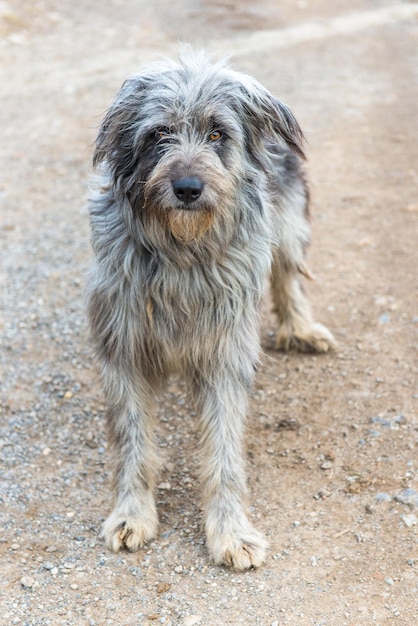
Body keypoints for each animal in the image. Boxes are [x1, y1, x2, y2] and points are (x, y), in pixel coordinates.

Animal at [86, 51, 334, 568]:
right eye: (159, 133)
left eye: (218, 133)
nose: (187, 187)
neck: (182, 252)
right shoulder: (123, 346)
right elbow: (133, 442)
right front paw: (132, 514)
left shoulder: (224, 351)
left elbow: (223, 453)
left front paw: (231, 532)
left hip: (288, 218)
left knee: (286, 272)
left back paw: (301, 328)